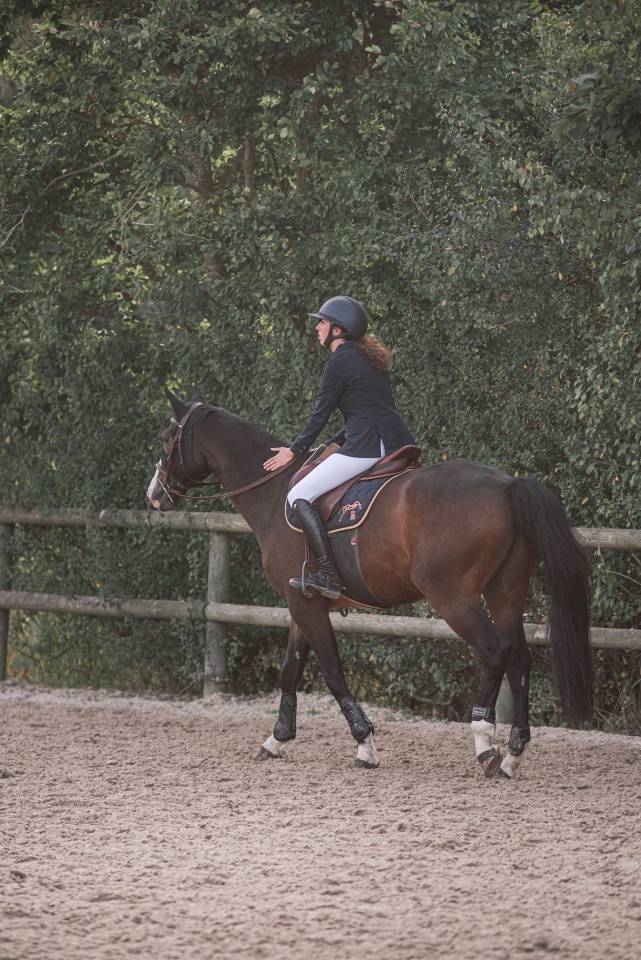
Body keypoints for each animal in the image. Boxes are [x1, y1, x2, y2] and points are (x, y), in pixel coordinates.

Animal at [146, 390, 592, 779]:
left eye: (167, 438)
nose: (155, 494)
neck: (274, 493)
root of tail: (507, 484)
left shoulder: (305, 606)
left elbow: (331, 672)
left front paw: (364, 744)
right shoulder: (301, 601)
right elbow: (291, 671)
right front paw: (277, 740)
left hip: (454, 600)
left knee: (495, 651)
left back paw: (484, 743)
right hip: (505, 595)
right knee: (519, 660)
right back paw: (513, 755)